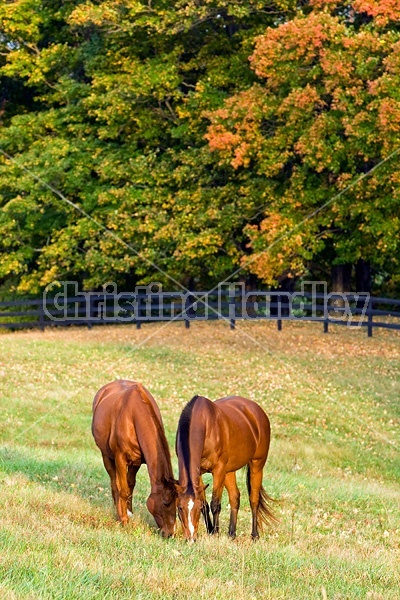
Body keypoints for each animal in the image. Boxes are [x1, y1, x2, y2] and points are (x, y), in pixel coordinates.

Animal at [93, 378, 177, 536]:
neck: (134, 416)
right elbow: (123, 489)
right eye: (165, 502)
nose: (170, 533)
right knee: (114, 482)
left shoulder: (136, 461)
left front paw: (129, 512)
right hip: (106, 456)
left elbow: (130, 485)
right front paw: (124, 519)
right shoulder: (120, 458)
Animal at [175, 396, 276, 540]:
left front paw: (215, 533)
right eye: (179, 508)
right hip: (229, 471)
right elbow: (205, 504)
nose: (191, 538)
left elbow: (215, 504)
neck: (205, 425)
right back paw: (231, 533)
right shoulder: (199, 473)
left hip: (257, 465)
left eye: (196, 509)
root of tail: (257, 411)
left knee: (254, 499)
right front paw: (211, 530)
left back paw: (254, 535)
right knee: (235, 497)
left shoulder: (218, 470)